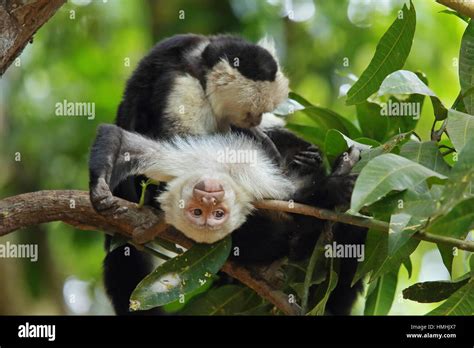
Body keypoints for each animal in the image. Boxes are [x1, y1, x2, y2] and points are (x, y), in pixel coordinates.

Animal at [89, 123, 364, 316]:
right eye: (198, 213)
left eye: (215, 211)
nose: (209, 199)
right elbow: (295, 215)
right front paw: (333, 188)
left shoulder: (190, 164)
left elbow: (121, 139)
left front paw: (99, 185)